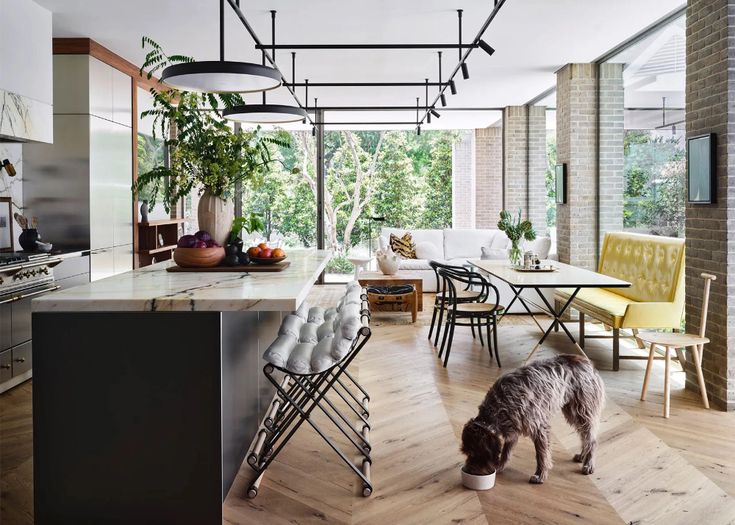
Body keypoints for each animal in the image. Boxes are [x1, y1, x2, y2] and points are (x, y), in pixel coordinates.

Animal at [462, 352, 608, 484]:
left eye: (473, 453)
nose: (469, 470)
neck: (497, 407)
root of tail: (587, 363)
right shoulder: (513, 426)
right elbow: (506, 452)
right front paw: (500, 466)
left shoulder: (539, 429)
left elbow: (541, 455)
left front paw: (540, 475)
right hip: (573, 412)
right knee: (585, 437)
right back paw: (582, 455)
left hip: (582, 411)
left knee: (591, 440)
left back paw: (588, 463)